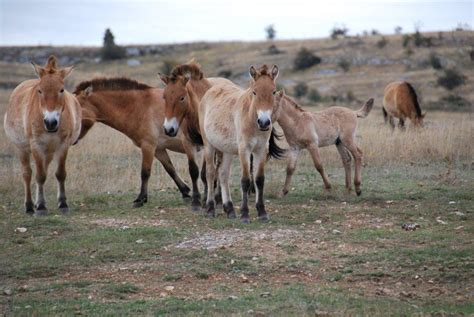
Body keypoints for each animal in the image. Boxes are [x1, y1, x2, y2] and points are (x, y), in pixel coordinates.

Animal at [4, 56, 81, 215]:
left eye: (61, 90)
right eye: (40, 90)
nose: (51, 123)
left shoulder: (63, 146)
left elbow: (60, 173)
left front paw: (63, 203)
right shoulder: (36, 145)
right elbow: (39, 176)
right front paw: (40, 206)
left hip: (49, 152)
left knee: (43, 169)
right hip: (22, 149)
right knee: (27, 173)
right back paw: (29, 205)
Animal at [71, 77, 194, 206]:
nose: (71, 139)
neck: (141, 107)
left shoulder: (148, 146)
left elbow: (145, 173)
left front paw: (141, 199)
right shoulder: (158, 149)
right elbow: (170, 169)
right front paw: (185, 192)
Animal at [159, 61, 233, 210]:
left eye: (182, 97)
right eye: (164, 97)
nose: (169, 129)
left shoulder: (206, 145)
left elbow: (205, 173)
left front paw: (206, 199)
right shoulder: (187, 143)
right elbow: (193, 170)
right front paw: (196, 201)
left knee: (218, 167)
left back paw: (217, 196)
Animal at [198, 64, 284, 222]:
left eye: (274, 91)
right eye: (254, 92)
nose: (264, 122)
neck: (251, 119)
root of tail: (209, 92)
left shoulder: (261, 150)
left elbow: (259, 179)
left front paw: (262, 212)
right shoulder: (244, 150)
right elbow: (245, 180)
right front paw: (244, 214)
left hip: (226, 151)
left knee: (223, 174)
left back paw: (230, 209)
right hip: (209, 146)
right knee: (211, 173)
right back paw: (210, 209)